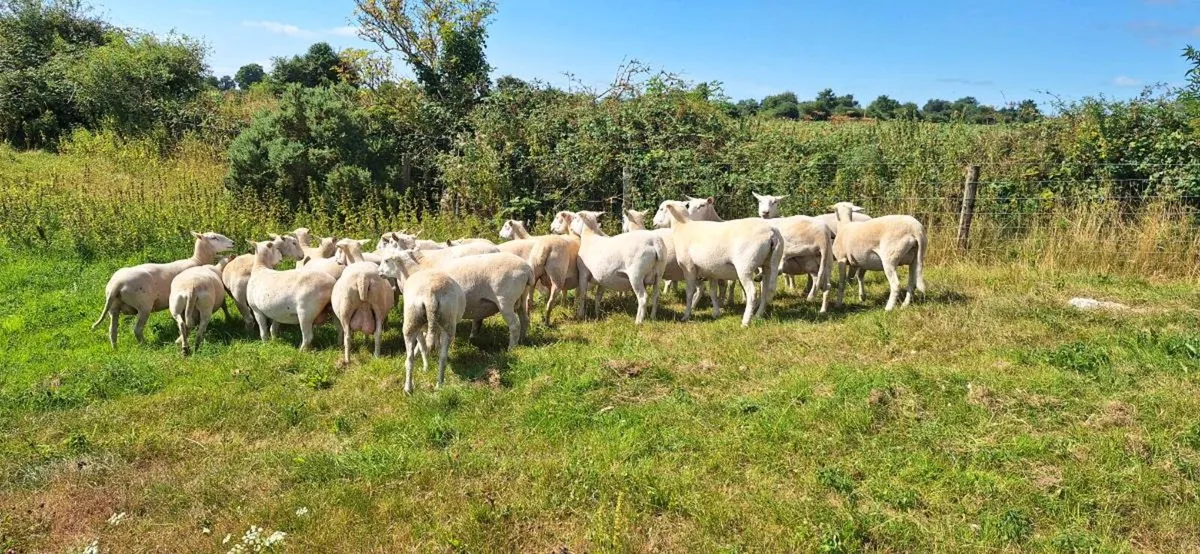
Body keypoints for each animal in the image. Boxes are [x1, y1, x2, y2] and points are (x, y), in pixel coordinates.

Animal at [92, 231, 235, 347]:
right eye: (213, 237)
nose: (233, 243)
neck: (198, 260)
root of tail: (115, 285)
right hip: (143, 305)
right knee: (137, 329)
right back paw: (145, 345)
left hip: (114, 307)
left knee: (112, 330)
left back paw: (115, 348)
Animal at [379, 250, 535, 347]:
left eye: (387, 260)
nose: (379, 273)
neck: (412, 271)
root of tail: (528, 270)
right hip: (521, 298)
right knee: (524, 319)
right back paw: (521, 341)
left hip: (505, 301)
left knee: (514, 325)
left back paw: (511, 348)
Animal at [653, 201, 783, 327]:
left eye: (661, 209)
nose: (653, 223)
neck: (683, 227)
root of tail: (771, 231)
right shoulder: (711, 271)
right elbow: (712, 292)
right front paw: (716, 313)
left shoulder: (688, 267)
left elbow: (689, 292)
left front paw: (686, 315)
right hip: (768, 264)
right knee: (765, 291)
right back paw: (758, 316)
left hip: (745, 266)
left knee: (752, 293)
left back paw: (746, 322)